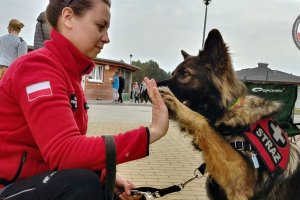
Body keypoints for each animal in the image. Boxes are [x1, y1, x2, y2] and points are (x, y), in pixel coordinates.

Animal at [156, 29, 300, 200]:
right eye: (173, 73)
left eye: (185, 74)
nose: (145, 89)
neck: (229, 112)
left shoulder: (238, 179)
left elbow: (204, 123)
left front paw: (173, 101)